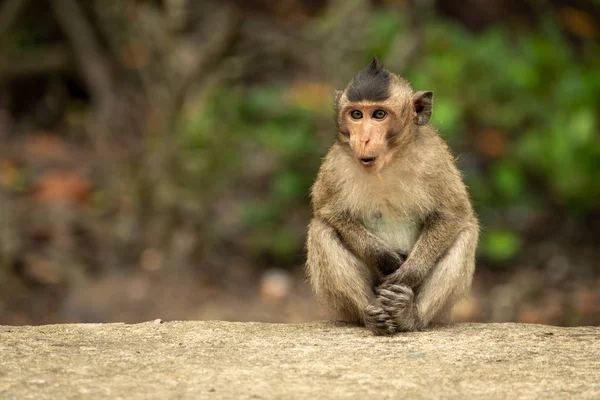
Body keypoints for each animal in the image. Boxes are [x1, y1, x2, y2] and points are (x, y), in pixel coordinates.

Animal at [304, 57, 478, 334]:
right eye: (356, 114)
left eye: (379, 115)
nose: (363, 139)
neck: (387, 162)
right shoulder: (335, 165)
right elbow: (329, 213)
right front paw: (383, 257)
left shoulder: (434, 157)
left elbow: (455, 213)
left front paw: (408, 273)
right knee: (321, 229)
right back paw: (371, 315)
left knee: (466, 232)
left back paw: (408, 315)